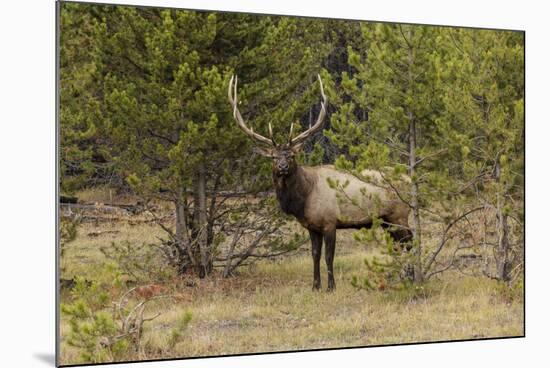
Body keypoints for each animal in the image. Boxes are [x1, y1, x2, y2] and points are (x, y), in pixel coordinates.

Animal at [226, 75, 412, 290]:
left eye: (291, 156)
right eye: (273, 157)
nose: (282, 166)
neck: (304, 199)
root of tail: (410, 179)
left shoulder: (330, 221)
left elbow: (329, 257)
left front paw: (331, 287)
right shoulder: (311, 226)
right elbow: (314, 255)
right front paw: (315, 286)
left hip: (399, 215)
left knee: (410, 242)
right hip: (386, 220)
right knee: (398, 245)